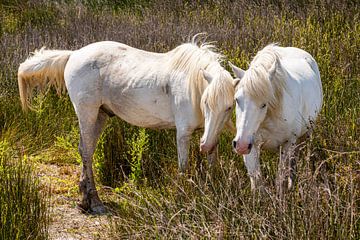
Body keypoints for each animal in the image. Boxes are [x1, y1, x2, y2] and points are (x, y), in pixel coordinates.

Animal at [17, 38, 236, 213]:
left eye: (229, 106)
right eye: (206, 102)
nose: (205, 145)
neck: (192, 84)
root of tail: (75, 54)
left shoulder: (209, 134)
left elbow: (212, 165)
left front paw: (212, 195)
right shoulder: (183, 133)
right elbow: (183, 167)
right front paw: (181, 201)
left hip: (100, 115)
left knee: (86, 150)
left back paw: (85, 200)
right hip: (87, 112)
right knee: (86, 152)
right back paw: (95, 202)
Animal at [231, 43, 324, 193]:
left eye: (264, 104)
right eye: (237, 100)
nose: (241, 145)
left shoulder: (287, 144)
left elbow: (280, 180)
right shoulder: (252, 146)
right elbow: (256, 181)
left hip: (307, 133)